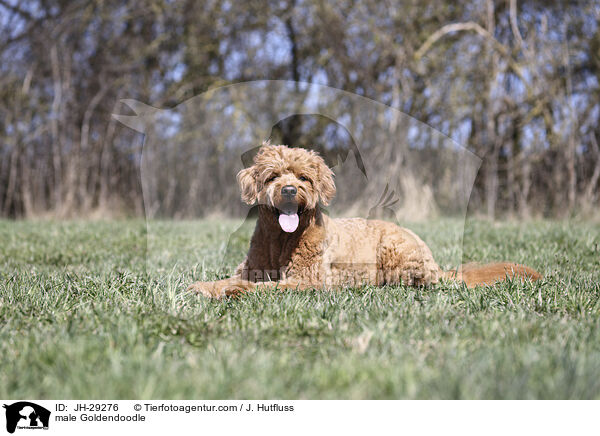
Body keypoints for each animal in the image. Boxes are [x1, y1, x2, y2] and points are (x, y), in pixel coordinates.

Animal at [186, 142, 540, 296]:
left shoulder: (308, 280)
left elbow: (255, 287)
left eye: (304, 177)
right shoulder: (255, 265)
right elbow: (235, 278)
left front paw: (228, 291)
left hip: (393, 251)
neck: (281, 239)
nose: (288, 190)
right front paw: (205, 286)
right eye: (272, 176)